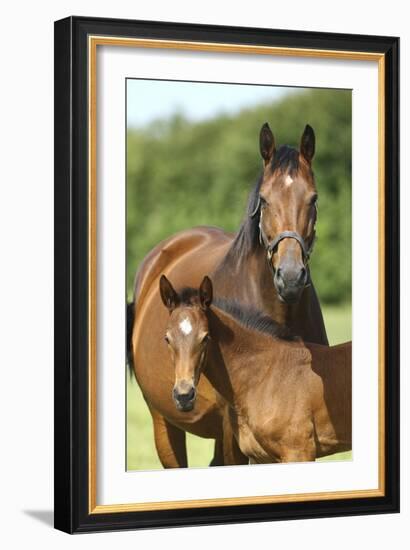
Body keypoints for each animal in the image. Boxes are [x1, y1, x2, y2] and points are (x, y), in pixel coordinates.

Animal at [160, 276, 352, 466]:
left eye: (206, 337)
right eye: (167, 338)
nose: (184, 396)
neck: (263, 377)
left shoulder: (299, 451)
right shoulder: (261, 457)